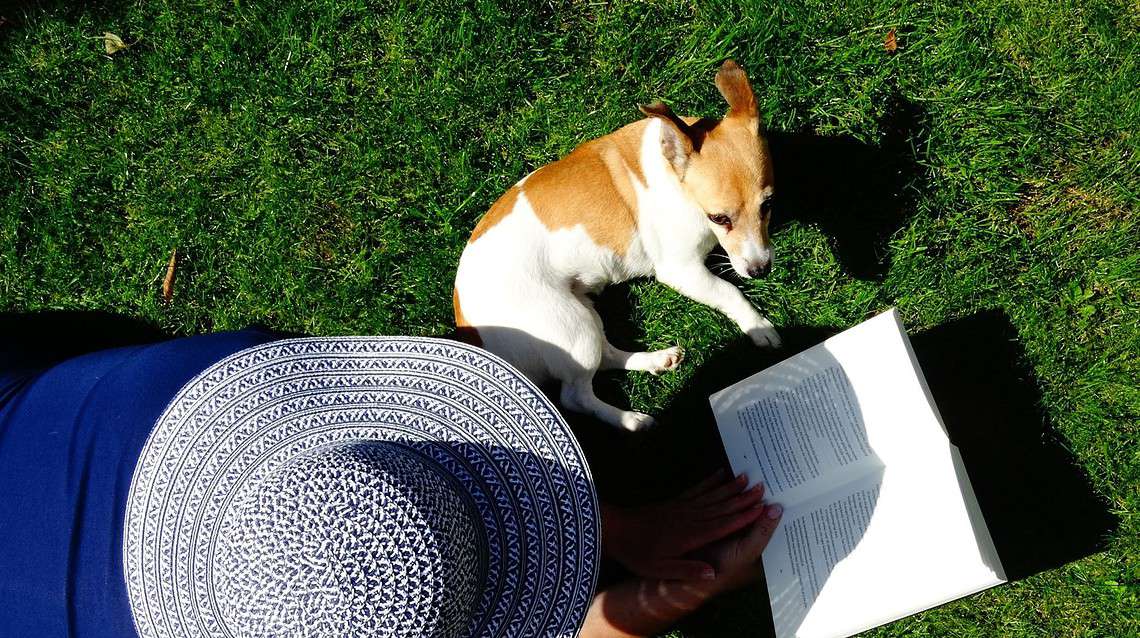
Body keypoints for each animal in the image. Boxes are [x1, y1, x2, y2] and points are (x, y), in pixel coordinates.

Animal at [453, 59, 784, 430]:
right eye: (719, 218)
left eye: (768, 204)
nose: (761, 269)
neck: (674, 175)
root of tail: (470, 329)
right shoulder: (681, 271)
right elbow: (731, 291)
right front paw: (757, 326)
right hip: (570, 327)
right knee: (576, 396)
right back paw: (632, 420)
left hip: (583, 313)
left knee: (606, 356)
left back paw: (656, 360)